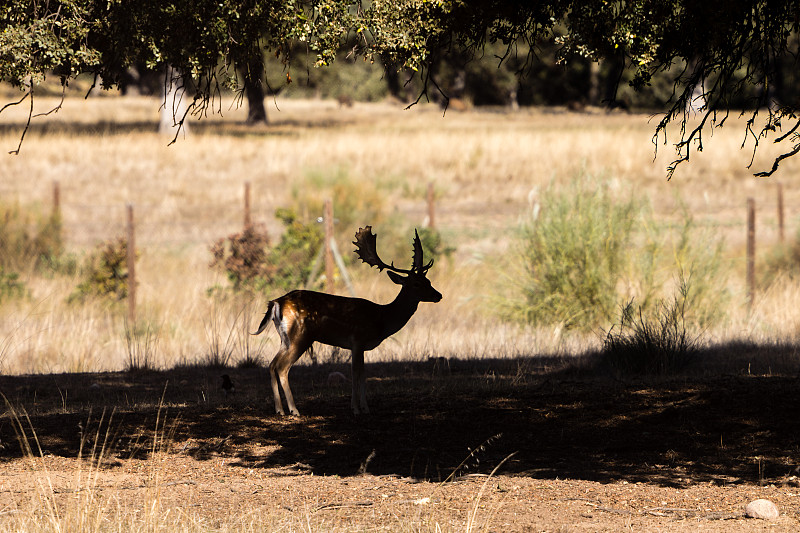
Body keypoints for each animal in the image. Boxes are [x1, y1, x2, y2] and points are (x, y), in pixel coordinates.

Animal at [252, 224, 444, 416]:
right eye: (416, 284)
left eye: (428, 280)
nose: (438, 295)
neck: (381, 319)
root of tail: (276, 302)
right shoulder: (358, 339)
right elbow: (356, 373)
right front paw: (356, 409)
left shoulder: (360, 346)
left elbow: (363, 373)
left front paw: (365, 407)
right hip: (300, 335)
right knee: (282, 367)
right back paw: (294, 410)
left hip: (285, 338)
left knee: (272, 364)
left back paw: (279, 409)